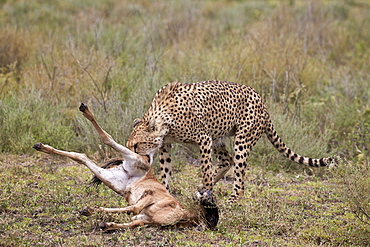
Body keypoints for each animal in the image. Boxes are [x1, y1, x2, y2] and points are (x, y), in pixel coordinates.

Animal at [126, 80, 336, 203]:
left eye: (136, 145)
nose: (131, 160)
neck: (164, 120)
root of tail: (261, 101)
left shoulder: (203, 138)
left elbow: (205, 169)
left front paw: (207, 194)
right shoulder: (166, 145)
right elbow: (166, 171)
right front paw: (166, 192)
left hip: (241, 139)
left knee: (239, 174)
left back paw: (232, 198)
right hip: (219, 136)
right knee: (227, 160)